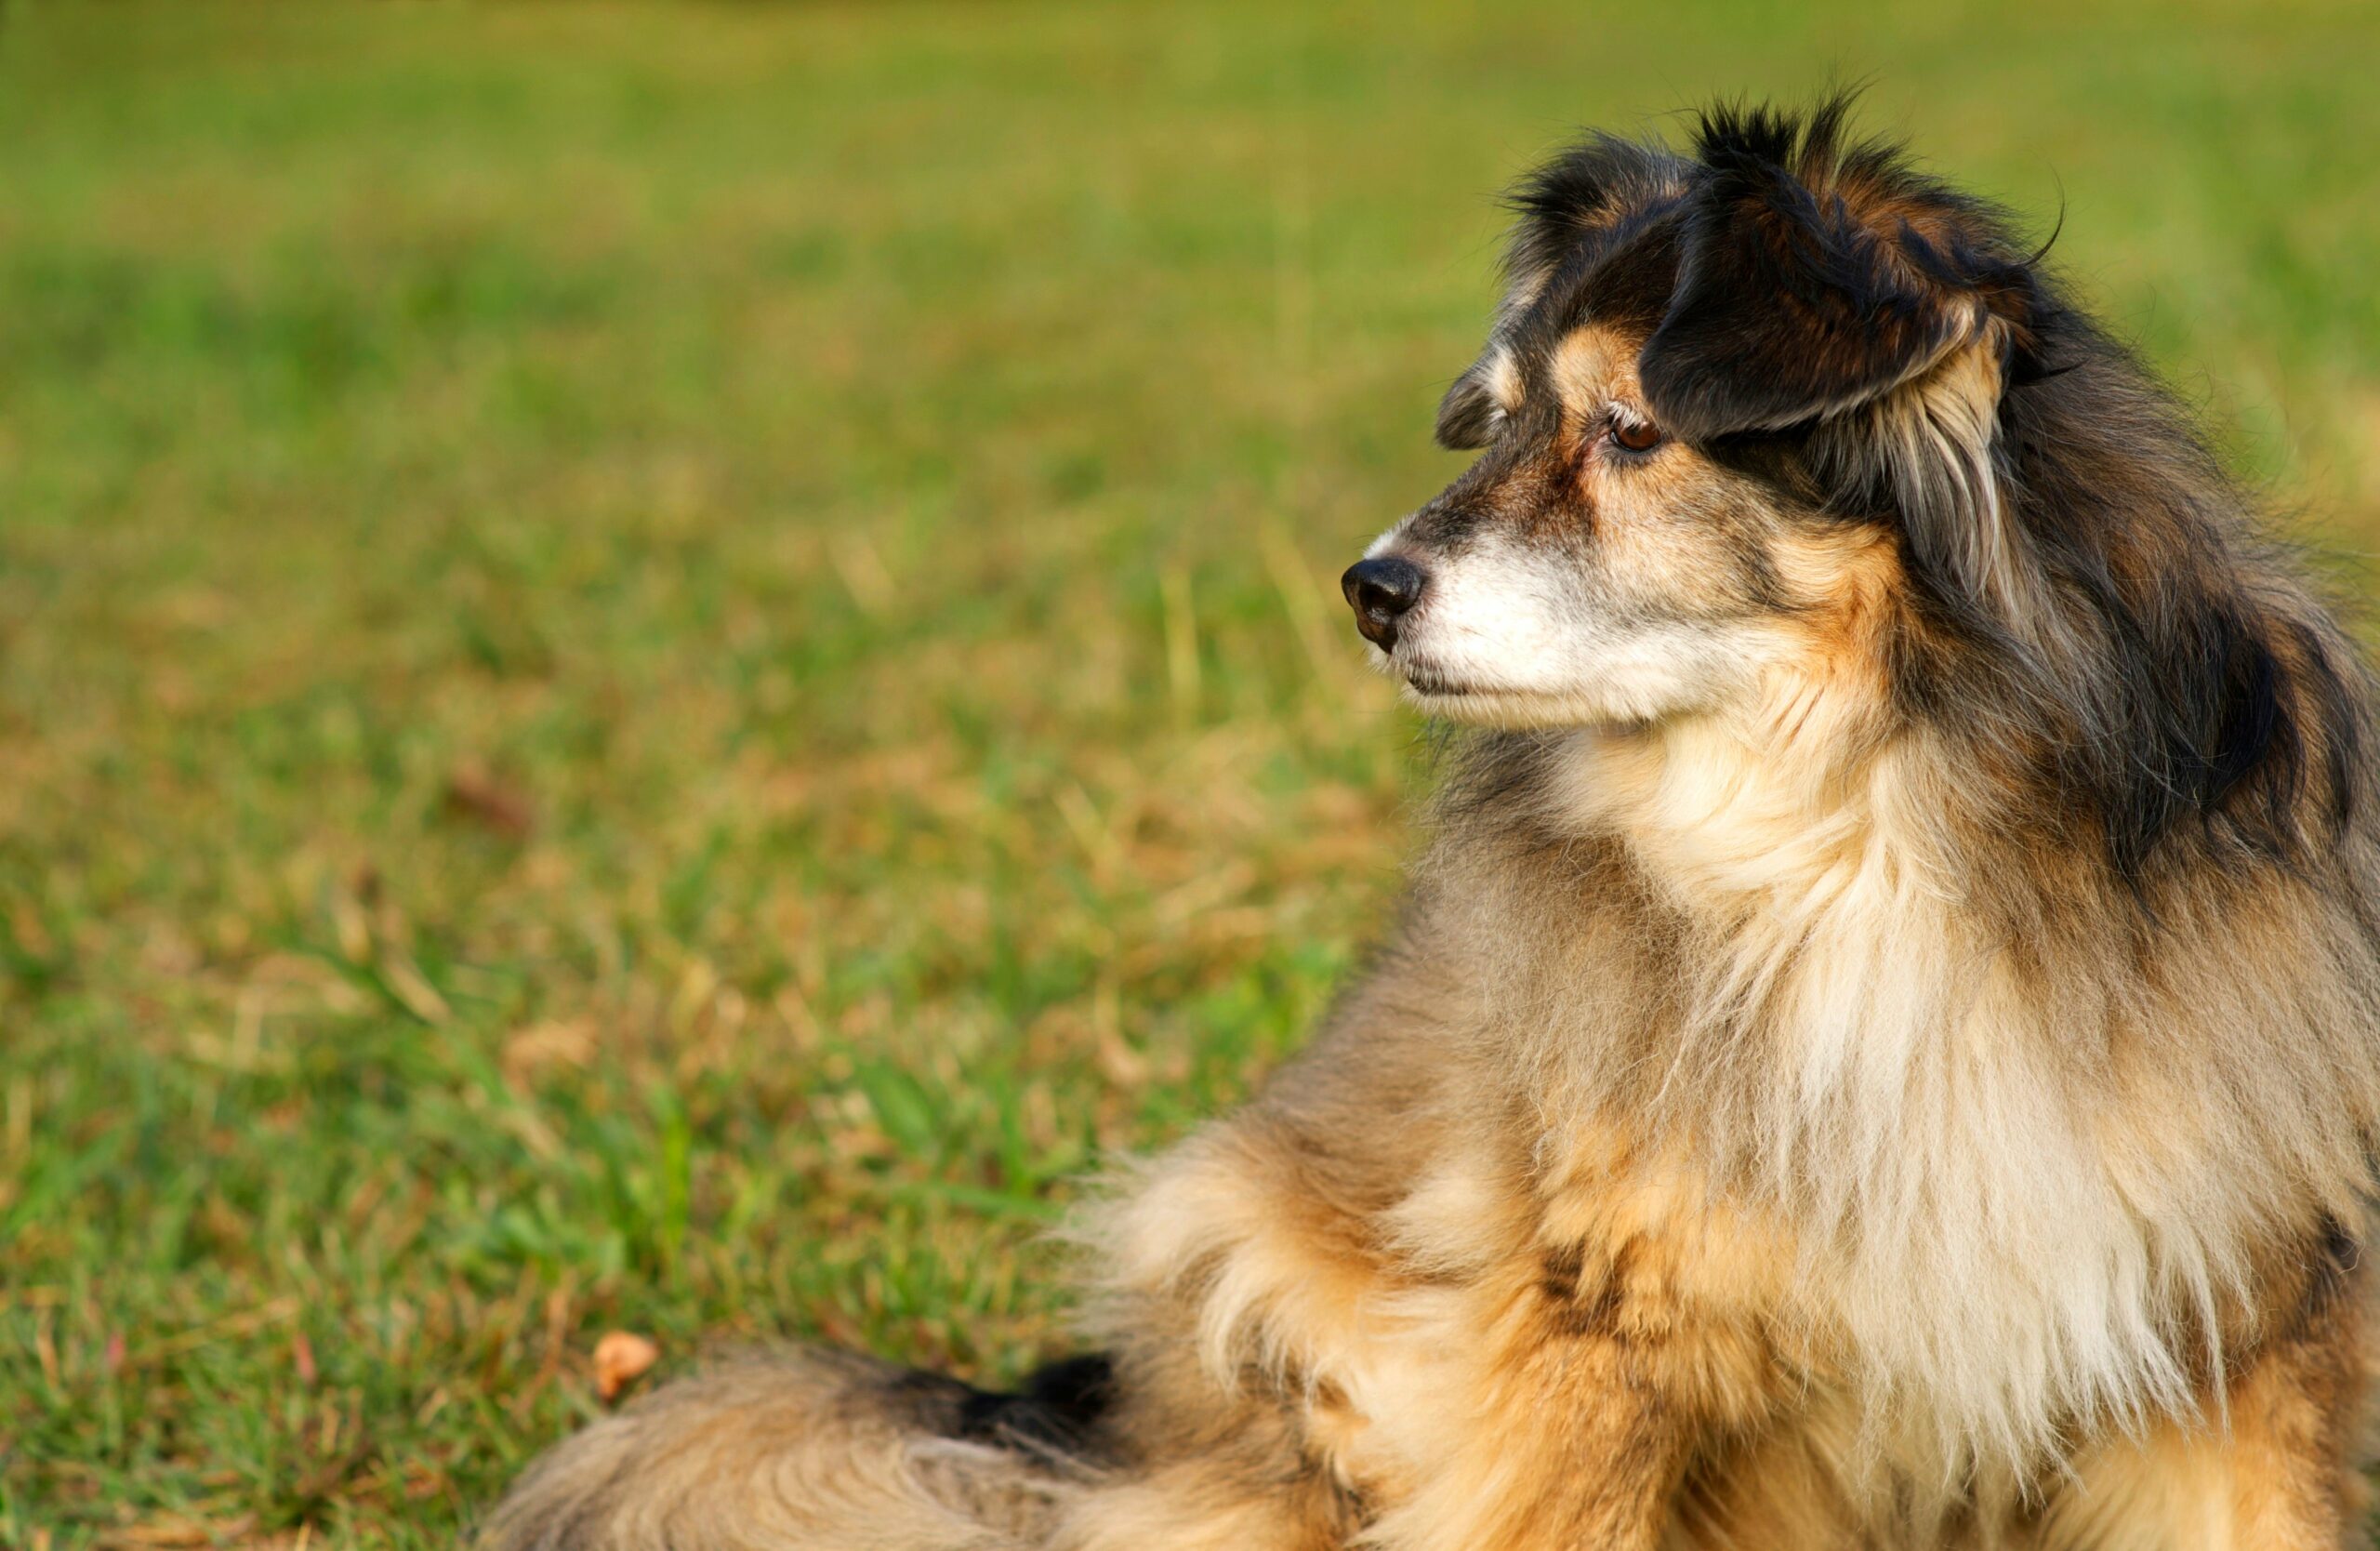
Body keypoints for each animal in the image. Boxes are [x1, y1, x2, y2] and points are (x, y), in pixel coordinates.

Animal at [483, 97, 2380, 1551]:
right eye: (1507, 419)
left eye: (1630, 431)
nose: (1367, 590)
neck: (1868, 828)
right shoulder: (1587, 1317)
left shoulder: (2241, 1308)